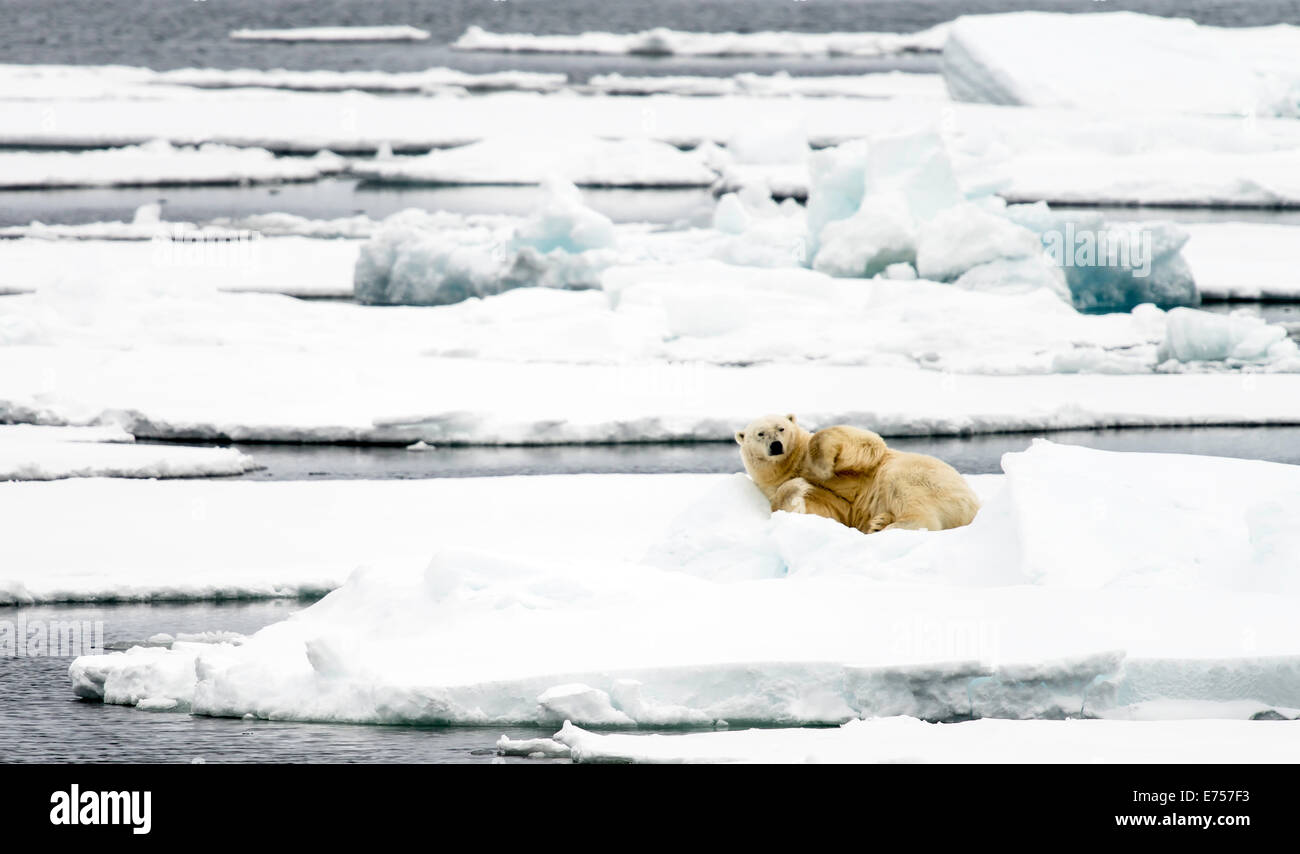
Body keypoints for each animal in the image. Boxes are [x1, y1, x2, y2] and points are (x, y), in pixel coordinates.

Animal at [738, 413, 977, 532]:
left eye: (781, 428)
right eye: (760, 433)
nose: (776, 445)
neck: (791, 464)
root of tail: (974, 507)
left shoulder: (864, 461)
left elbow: (866, 443)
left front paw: (820, 467)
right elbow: (828, 507)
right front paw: (797, 493)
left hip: (922, 475)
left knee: (904, 488)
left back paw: (890, 526)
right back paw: (880, 523)